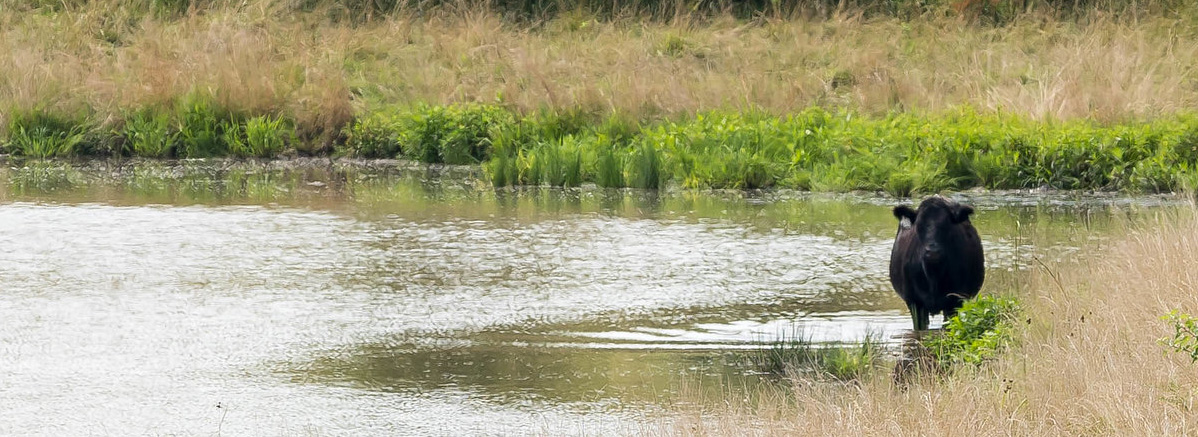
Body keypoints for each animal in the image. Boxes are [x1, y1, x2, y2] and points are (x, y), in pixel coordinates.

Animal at [889, 195, 985, 331]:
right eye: (919, 225)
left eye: (947, 225)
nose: (932, 252)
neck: (933, 274)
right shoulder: (915, 303)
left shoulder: (954, 301)